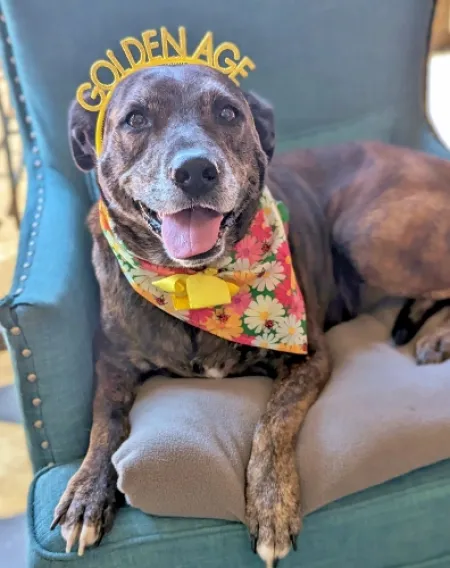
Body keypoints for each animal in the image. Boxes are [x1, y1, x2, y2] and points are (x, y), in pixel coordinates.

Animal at [52, 64, 450, 564]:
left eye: (228, 113)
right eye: (135, 119)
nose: (195, 171)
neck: (198, 283)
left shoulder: (310, 356)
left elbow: (272, 422)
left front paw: (272, 505)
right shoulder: (111, 363)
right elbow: (104, 422)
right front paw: (86, 493)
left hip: (365, 232)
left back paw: (437, 334)